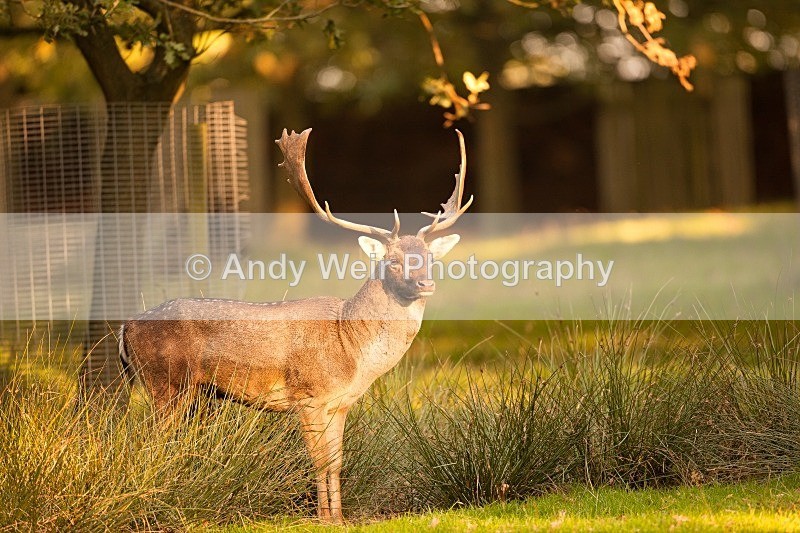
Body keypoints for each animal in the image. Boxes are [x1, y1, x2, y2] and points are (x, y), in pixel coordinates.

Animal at [117, 128, 473, 523]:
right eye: (393, 261)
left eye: (428, 258)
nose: (426, 283)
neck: (352, 348)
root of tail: (126, 327)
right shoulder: (308, 396)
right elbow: (318, 462)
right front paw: (324, 518)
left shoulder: (340, 404)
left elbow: (336, 462)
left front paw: (340, 518)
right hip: (164, 383)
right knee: (150, 442)